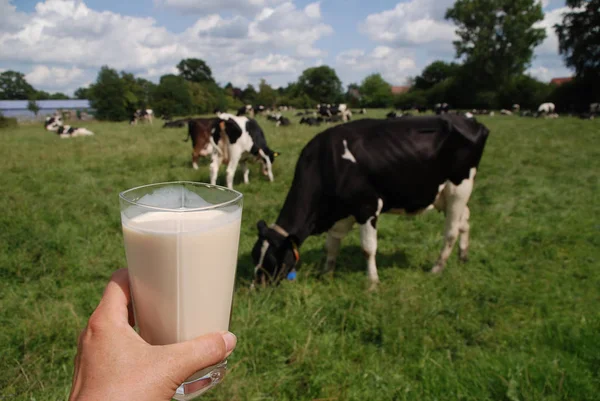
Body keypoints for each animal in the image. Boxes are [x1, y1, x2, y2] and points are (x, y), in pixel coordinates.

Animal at [251, 114, 490, 286]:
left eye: (274, 261)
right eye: (255, 256)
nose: (256, 288)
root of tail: (469, 120)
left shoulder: (367, 207)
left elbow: (368, 248)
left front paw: (373, 283)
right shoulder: (340, 212)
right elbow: (331, 246)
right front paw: (327, 273)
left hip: (460, 187)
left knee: (451, 230)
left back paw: (437, 268)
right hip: (443, 194)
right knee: (465, 219)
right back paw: (463, 256)